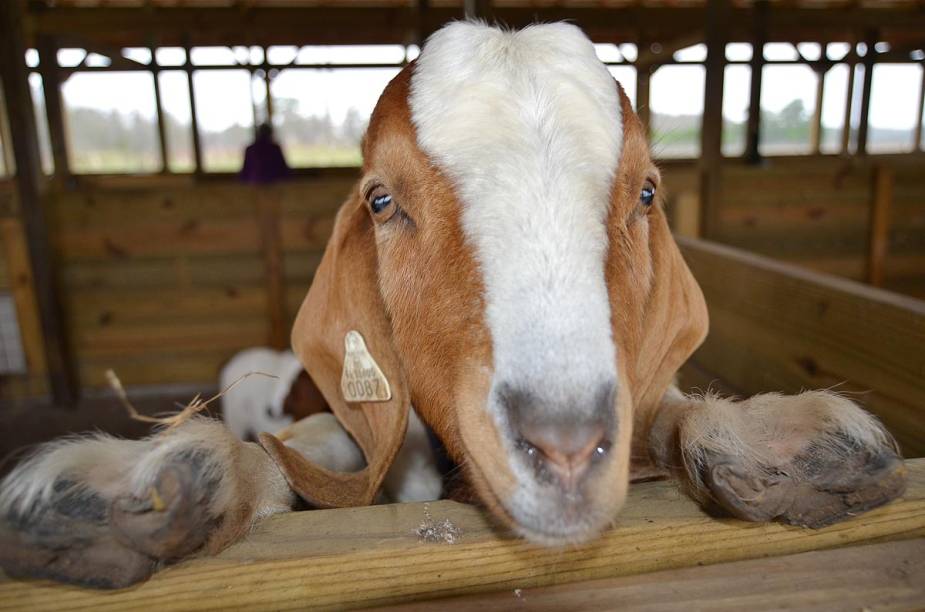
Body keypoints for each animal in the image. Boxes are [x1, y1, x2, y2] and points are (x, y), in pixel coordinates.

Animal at [0, 21, 904, 592]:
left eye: (645, 192)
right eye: (381, 201)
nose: (563, 448)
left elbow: (670, 413)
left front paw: (783, 441)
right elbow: (301, 457)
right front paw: (122, 491)